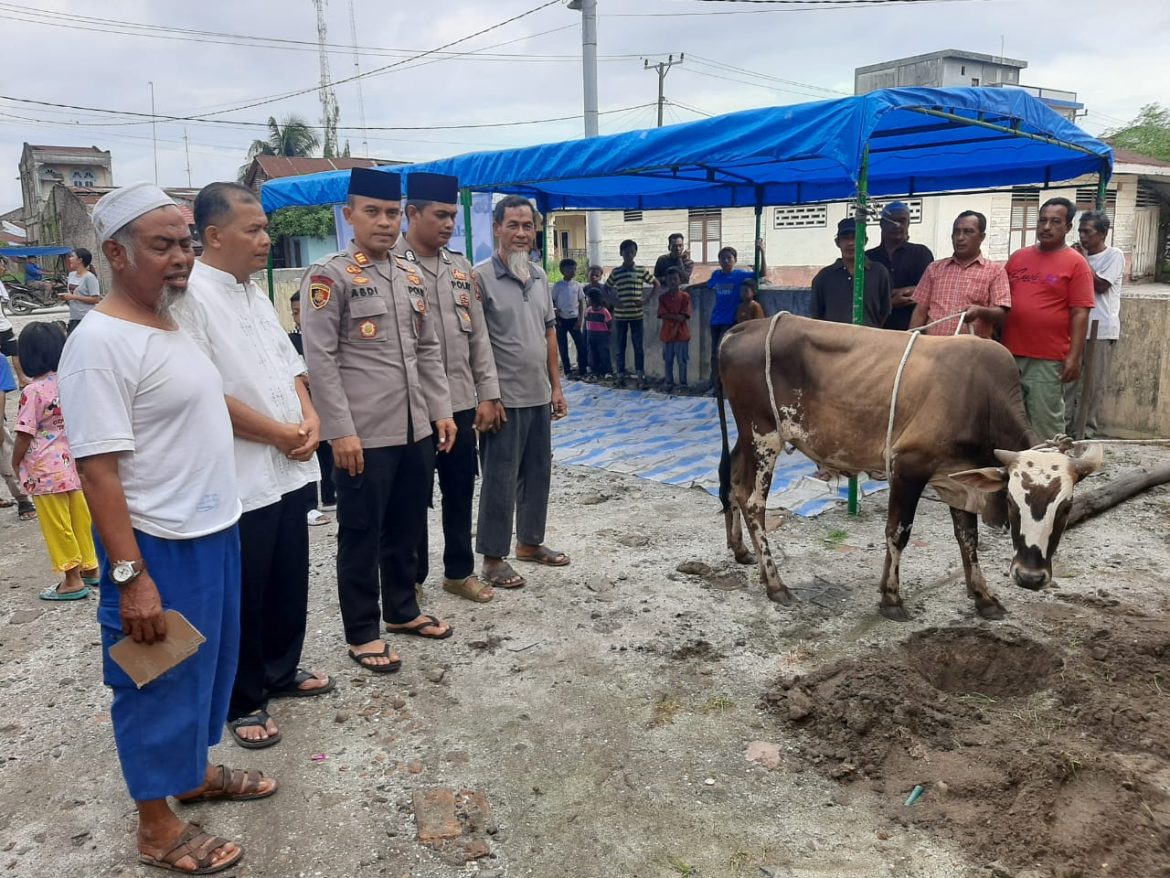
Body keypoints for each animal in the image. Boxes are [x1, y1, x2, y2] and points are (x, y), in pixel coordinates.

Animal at [711, 313, 1104, 622]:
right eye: (1011, 501)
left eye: (1066, 507)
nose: (1030, 577)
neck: (980, 398)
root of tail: (743, 328)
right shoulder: (908, 467)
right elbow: (898, 532)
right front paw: (891, 598)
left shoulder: (959, 479)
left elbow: (968, 538)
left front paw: (983, 596)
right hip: (764, 435)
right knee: (753, 501)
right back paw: (775, 583)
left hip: (747, 436)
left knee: (733, 483)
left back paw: (741, 551)